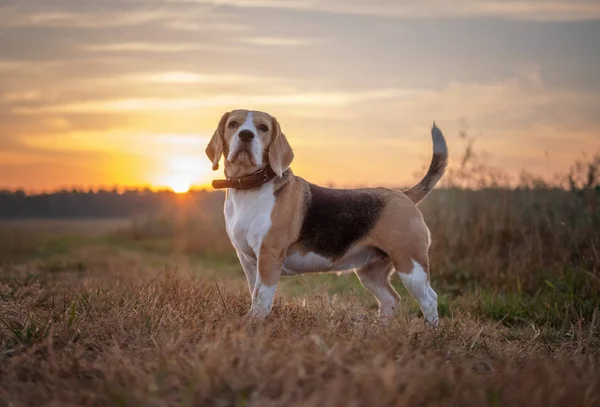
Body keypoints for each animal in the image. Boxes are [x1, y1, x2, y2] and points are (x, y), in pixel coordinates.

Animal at [206, 110, 446, 326]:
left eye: (263, 128)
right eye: (233, 124)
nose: (246, 135)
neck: (249, 188)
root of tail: (403, 195)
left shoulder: (269, 256)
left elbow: (262, 298)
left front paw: (254, 324)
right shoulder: (247, 260)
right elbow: (254, 294)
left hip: (411, 266)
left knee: (429, 300)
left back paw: (430, 333)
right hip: (371, 272)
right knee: (391, 300)